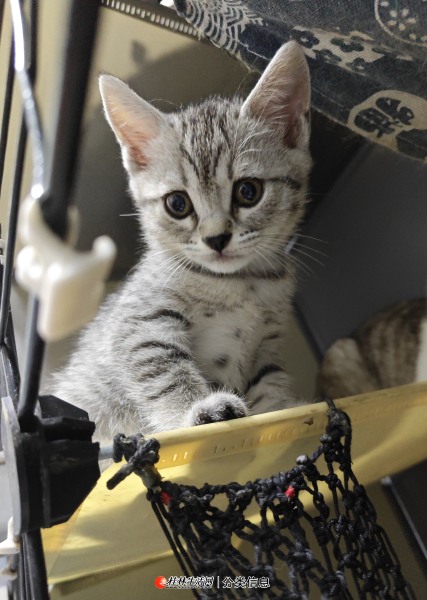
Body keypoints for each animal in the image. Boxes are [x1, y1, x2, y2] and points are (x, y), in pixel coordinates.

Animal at [52, 41, 312, 443]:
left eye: (248, 191)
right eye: (178, 204)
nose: (217, 238)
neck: (241, 285)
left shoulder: (268, 343)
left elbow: (268, 383)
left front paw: (286, 410)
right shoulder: (141, 325)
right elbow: (165, 371)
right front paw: (198, 410)